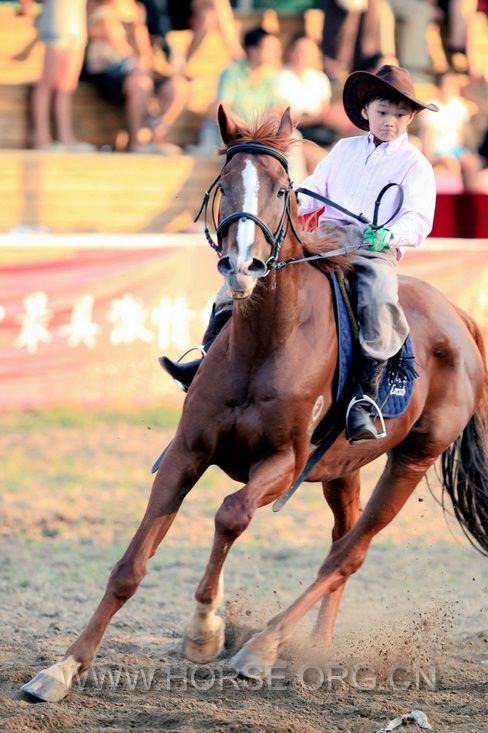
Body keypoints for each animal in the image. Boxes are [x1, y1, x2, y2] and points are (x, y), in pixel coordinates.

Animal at [22, 106, 488, 702]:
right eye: (224, 184)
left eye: (283, 189)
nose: (242, 266)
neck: (266, 343)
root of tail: (460, 319)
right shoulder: (186, 452)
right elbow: (130, 568)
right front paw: (62, 670)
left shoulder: (283, 462)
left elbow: (231, 513)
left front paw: (205, 631)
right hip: (343, 468)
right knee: (340, 543)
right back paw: (312, 649)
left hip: (412, 459)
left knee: (349, 553)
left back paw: (262, 647)